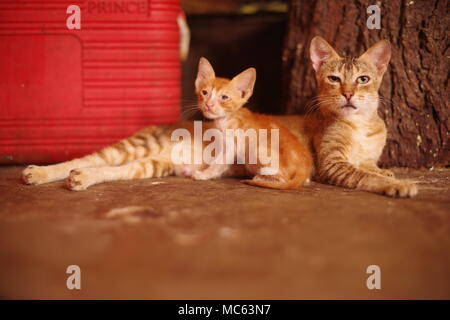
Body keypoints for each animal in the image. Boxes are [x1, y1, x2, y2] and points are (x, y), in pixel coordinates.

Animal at [191, 57, 312, 189]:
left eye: (224, 97)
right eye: (204, 92)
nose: (208, 104)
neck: (226, 119)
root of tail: (305, 167)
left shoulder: (232, 145)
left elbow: (218, 163)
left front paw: (205, 174)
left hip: (257, 149)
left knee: (283, 179)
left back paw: (260, 178)